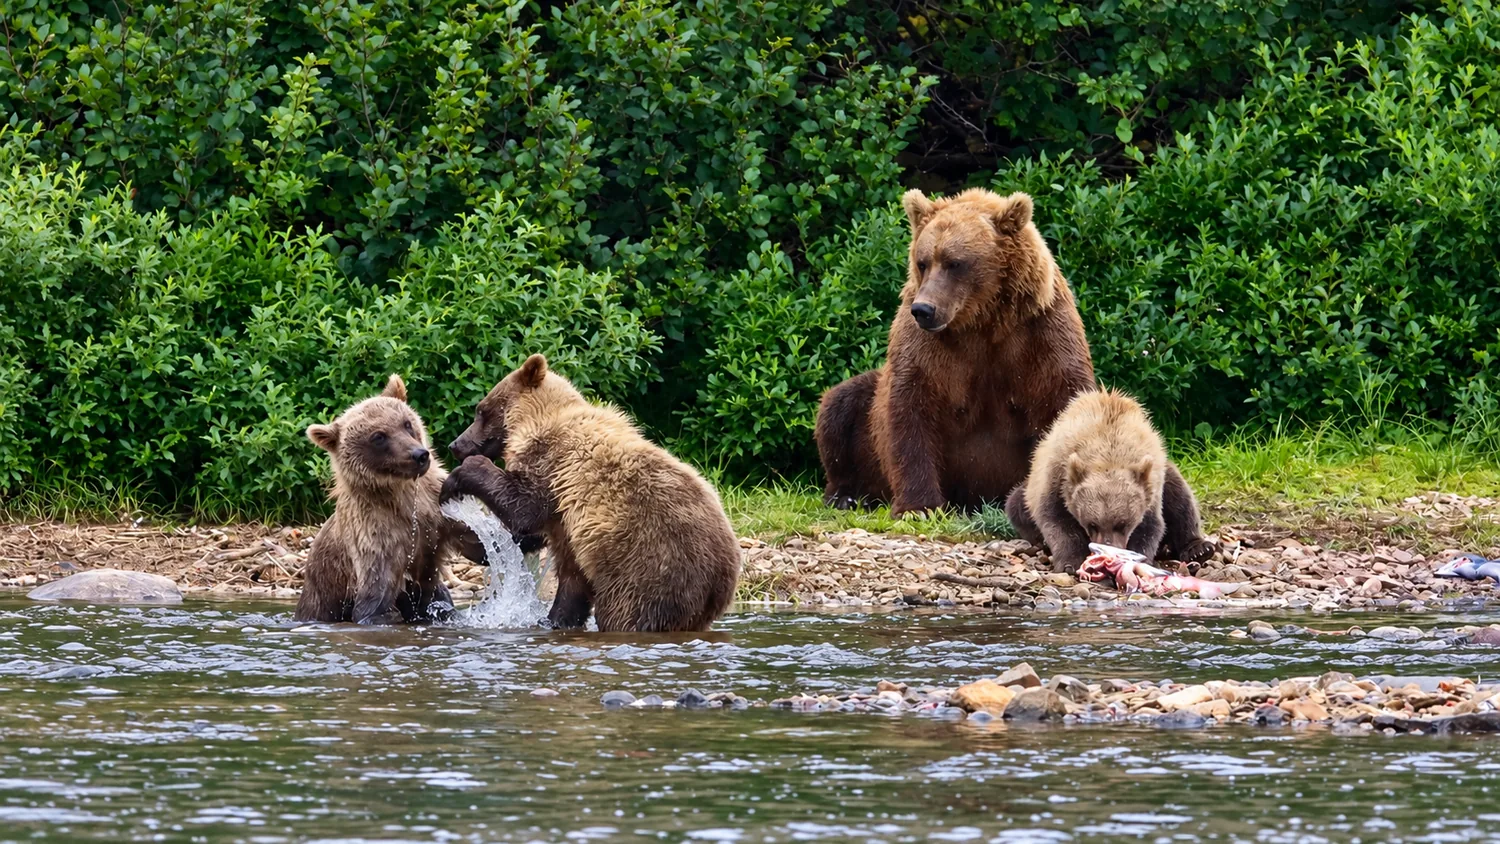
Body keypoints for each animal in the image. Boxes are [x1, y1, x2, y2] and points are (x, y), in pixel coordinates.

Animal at [294, 375, 471, 625]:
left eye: (406, 423)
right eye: (378, 436)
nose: (419, 455)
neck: (402, 495)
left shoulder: (435, 508)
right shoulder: (376, 535)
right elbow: (374, 600)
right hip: (319, 598)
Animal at [440, 354, 741, 632]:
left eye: (481, 411)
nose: (456, 444)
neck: (535, 421)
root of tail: (721, 578)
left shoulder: (554, 465)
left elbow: (523, 507)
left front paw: (456, 479)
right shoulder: (566, 522)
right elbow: (558, 562)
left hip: (649, 566)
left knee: (627, 613)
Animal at [815, 188, 1096, 516]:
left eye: (955, 263)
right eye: (923, 262)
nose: (924, 310)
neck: (982, 319)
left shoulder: (1040, 331)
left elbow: (1064, 395)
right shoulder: (929, 348)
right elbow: (910, 406)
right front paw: (918, 506)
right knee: (839, 407)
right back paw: (845, 495)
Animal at [1003, 388, 1217, 572]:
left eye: (1122, 524)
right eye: (1092, 524)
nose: (1108, 549)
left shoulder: (1152, 482)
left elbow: (1150, 525)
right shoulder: (1057, 476)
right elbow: (1056, 520)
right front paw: (1071, 562)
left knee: (1181, 498)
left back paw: (1199, 549)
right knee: (1016, 504)